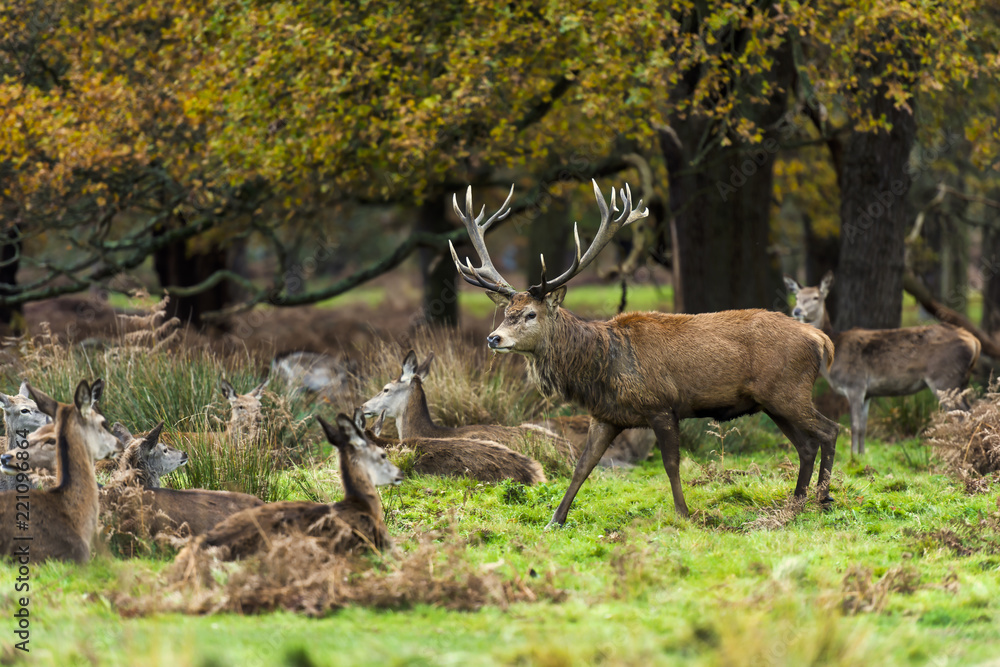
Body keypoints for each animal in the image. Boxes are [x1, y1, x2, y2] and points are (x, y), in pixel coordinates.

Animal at [449, 180, 840, 527]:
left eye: (531, 314)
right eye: (506, 312)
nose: (494, 338)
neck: (601, 367)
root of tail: (821, 338)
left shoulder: (661, 405)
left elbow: (671, 464)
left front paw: (684, 515)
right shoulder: (606, 415)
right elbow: (582, 466)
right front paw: (554, 520)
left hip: (788, 391)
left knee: (830, 429)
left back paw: (822, 498)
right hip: (771, 401)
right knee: (806, 445)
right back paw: (797, 502)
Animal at [783, 271, 981, 455]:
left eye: (816, 297)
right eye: (797, 297)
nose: (797, 311)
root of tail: (974, 342)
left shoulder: (855, 384)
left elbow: (855, 425)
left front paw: (852, 456)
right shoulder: (868, 393)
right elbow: (864, 426)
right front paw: (862, 455)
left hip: (945, 378)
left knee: (962, 415)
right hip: (960, 381)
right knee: (971, 411)